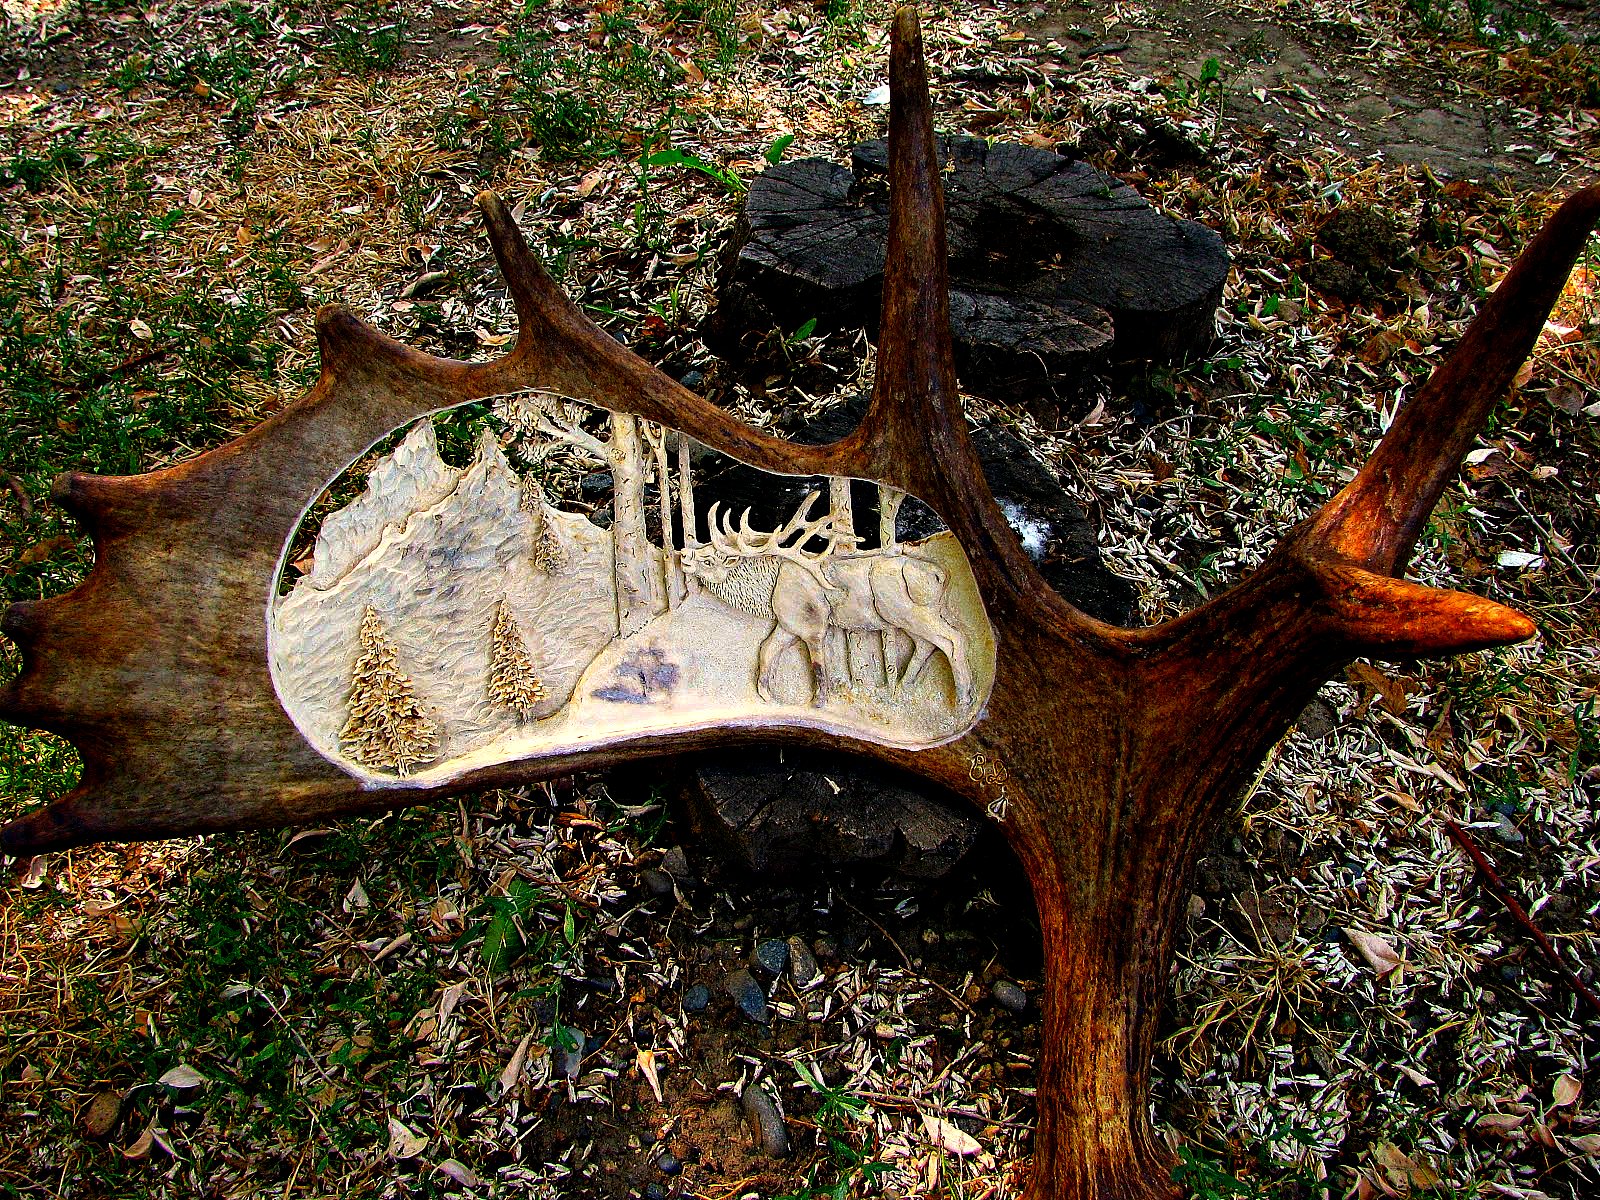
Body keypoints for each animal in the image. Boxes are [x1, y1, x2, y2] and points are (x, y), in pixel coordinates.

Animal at [681, 491, 975, 708]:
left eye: (710, 559)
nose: (683, 554)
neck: (766, 588)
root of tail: (940, 574)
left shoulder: (813, 623)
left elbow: (818, 663)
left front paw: (818, 702)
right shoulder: (787, 624)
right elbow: (766, 650)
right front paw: (767, 696)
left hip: (908, 611)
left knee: (953, 639)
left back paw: (963, 700)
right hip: (910, 618)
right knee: (926, 645)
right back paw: (902, 689)